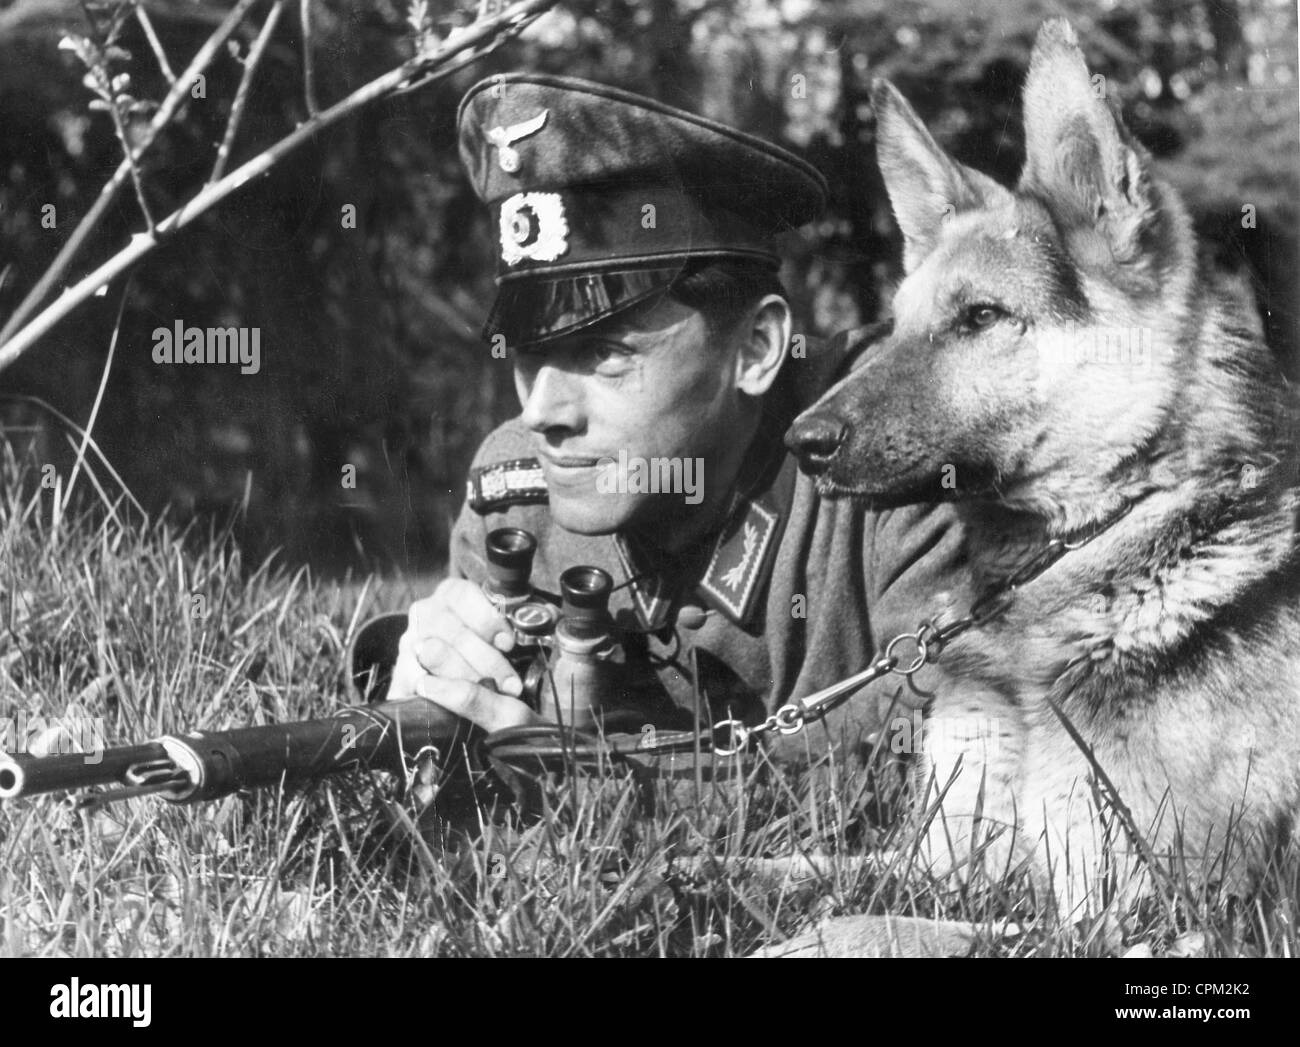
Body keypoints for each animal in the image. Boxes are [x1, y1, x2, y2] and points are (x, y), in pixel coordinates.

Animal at [785, 22, 1294, 905]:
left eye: (982, 316)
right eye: (896, 323)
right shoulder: (930, 859)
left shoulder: (1132, 900)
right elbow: (782, 868)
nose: (800, 441)